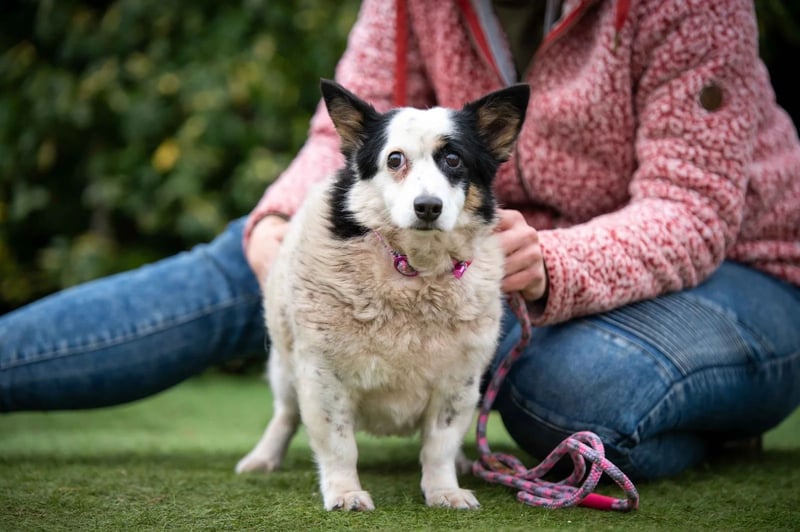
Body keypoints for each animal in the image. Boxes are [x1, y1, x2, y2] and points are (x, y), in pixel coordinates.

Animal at [236, 79, 529, 511]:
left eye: (453, 159)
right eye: (394, 159)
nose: (428, 207)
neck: (414, 271)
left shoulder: (458, 383)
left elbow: (439, 445)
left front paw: (444, 490)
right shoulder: (323, 377)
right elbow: (339, 445)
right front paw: (345, 492)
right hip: (286, 368)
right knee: (285, 414)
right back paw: (262, 458)